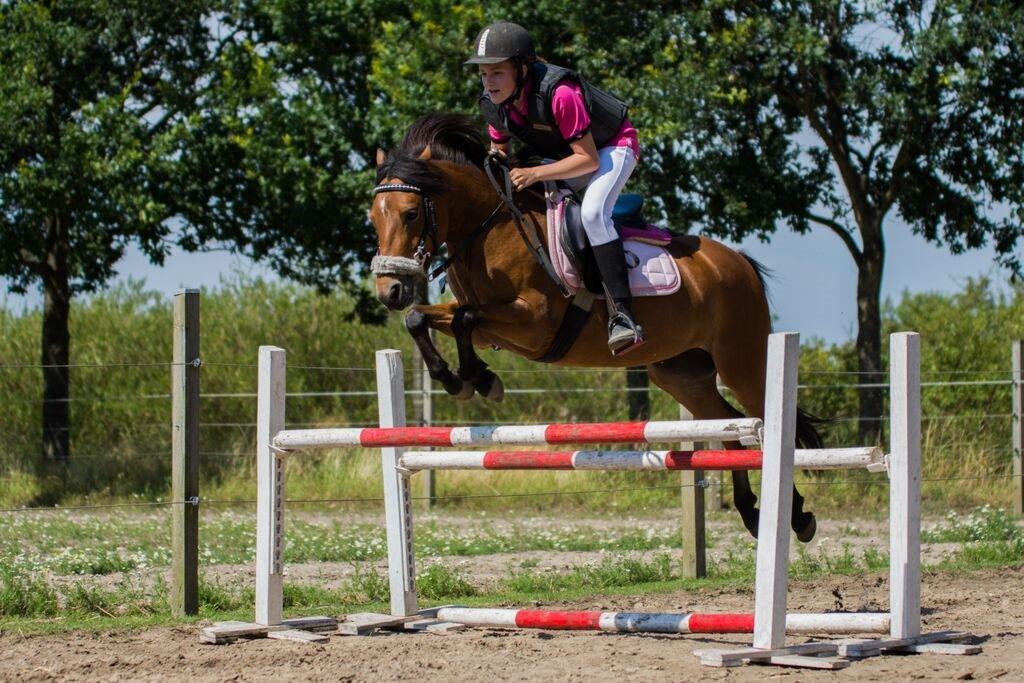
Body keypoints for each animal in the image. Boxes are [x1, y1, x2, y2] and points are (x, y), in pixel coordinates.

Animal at [368, 112, 823, 540]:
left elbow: (462, 318)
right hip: (681, 375)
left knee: (763, 421)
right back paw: (752, 512)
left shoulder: (533, 323)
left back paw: (797, 517)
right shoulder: (490, 322)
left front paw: (475, 379)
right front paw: (465, 378)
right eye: (373, 218)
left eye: (411, 214)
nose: (390, 290)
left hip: (741, 362)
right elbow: (421, 318)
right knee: (729, 427)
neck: (488, 230)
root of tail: (736, 262)